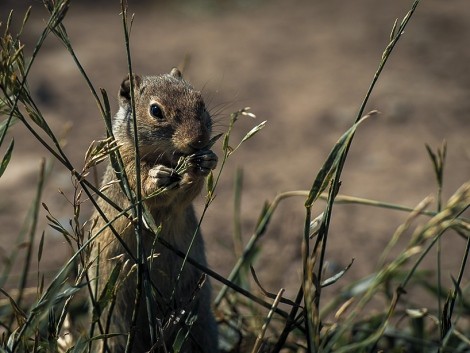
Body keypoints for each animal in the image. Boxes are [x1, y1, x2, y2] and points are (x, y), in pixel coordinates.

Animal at [90, 69, 218, 352]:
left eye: (201, 101)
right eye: (156, 110)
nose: (199, 141)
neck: (166, 157)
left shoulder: (180, 203)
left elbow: (186, 194)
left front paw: (206, 161)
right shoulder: (126, 168)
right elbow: (142, 188)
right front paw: (157, 177)